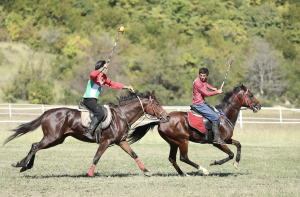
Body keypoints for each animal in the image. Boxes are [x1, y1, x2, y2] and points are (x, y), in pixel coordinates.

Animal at [3, 91, 170, 177]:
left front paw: (146, 171)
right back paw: (21, 164)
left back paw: (25, 166)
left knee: (35, 145)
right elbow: (97, 156)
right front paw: (90, 173)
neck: (121, 116)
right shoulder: (106, 142)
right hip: (52, 138)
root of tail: (47, 113)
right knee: (35, 146)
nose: (167, 117)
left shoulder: (121, 141)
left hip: (57, 139)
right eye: (156, 104)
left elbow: (134, 154)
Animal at [127, 84, 262, 176]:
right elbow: (230, 154)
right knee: (183, 158)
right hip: (182, 140)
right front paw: (214, 162)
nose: (259, 106)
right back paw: (203, 170)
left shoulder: (226, 140)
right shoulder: (217, 142)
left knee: (172, 158)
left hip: (173, 142)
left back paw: (183, 174)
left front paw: (236, 163)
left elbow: (238, 145)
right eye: (250, 95)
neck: (224, 116)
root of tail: (161, 120)